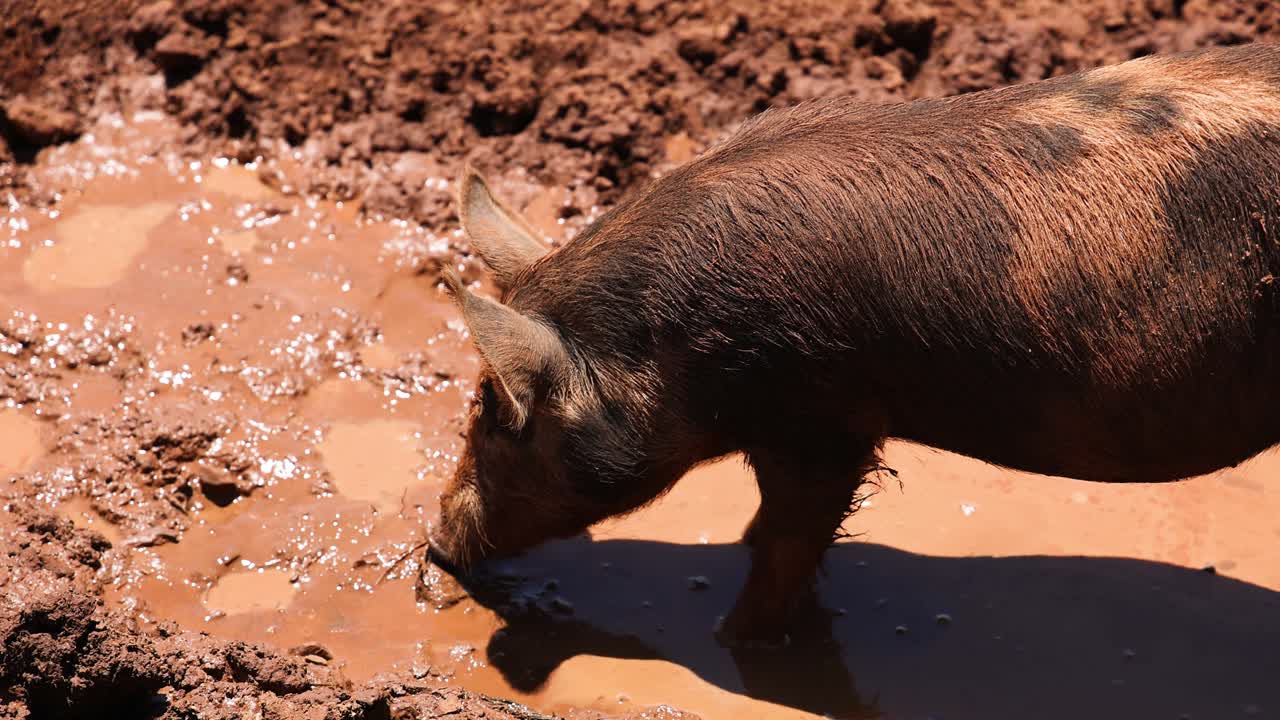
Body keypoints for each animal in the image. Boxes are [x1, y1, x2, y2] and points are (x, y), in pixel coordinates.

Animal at [431, 43, 1280, 646]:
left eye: (494, 413)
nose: (436, 540)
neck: (677, 350)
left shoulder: (821, 420)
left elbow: (789, 538)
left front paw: (733, 642)